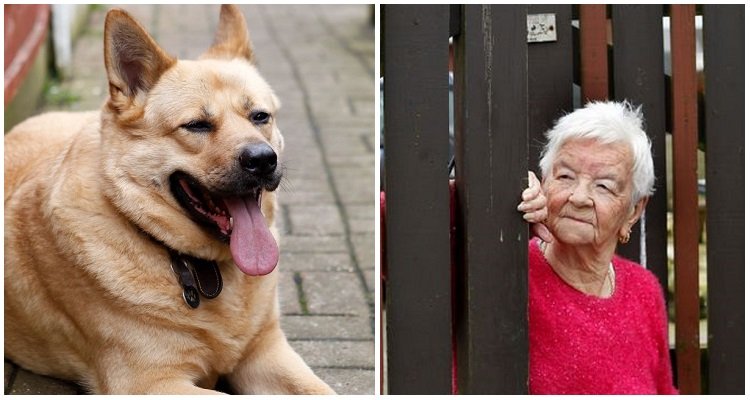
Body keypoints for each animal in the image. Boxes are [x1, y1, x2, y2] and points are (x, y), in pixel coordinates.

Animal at [2, 5, 336, 394]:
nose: (263, 160)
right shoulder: (150, 382)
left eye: (260, 117)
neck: (197, 265)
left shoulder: (265, 351)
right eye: (197, 125)